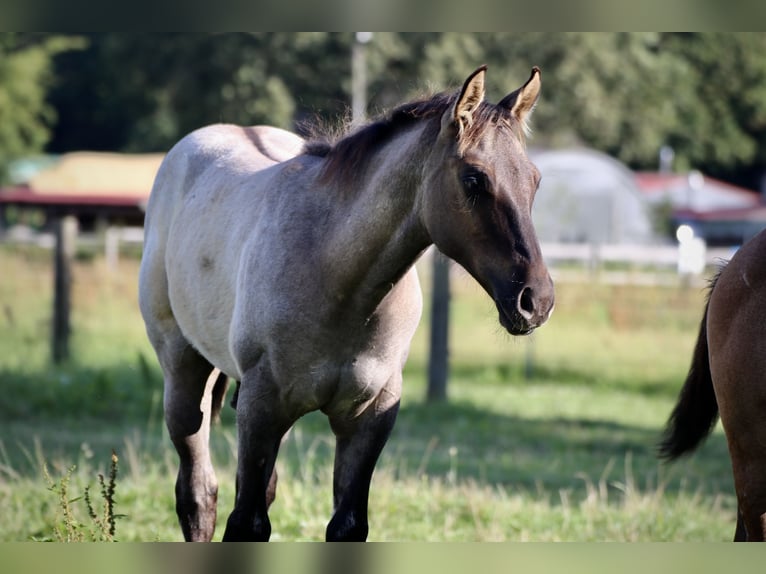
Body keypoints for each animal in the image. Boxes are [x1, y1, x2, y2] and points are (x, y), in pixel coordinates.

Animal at [140, 67, 560, 544]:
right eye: (474, 179)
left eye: (534, 179)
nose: (536, 301)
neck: (338, 277)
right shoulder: (262, 410)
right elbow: (246, 522)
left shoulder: (369, 418)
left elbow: (345, 525)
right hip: (184, 373)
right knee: (198, 495)